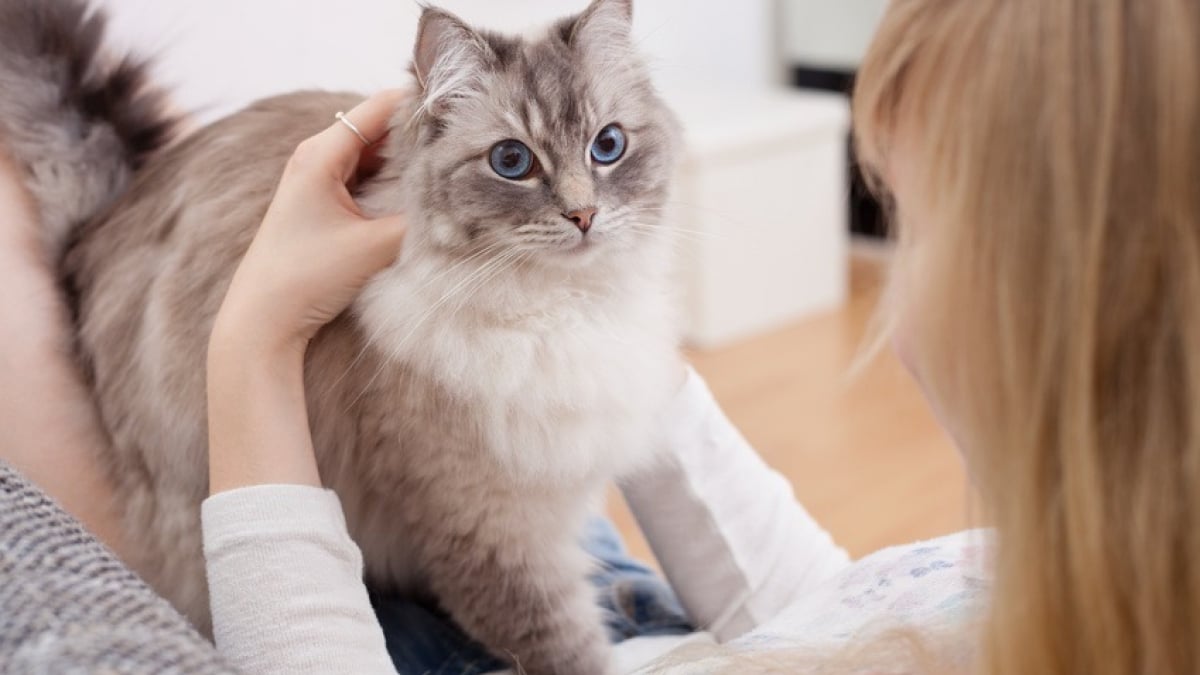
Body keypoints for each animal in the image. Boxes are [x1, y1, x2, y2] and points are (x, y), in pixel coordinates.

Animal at [0, 0, 686, 667]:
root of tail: (91, 237)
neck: (558, 308)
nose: (584, 216)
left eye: (608, 146)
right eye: (512, 162)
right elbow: (570, 648)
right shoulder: (496, 532)